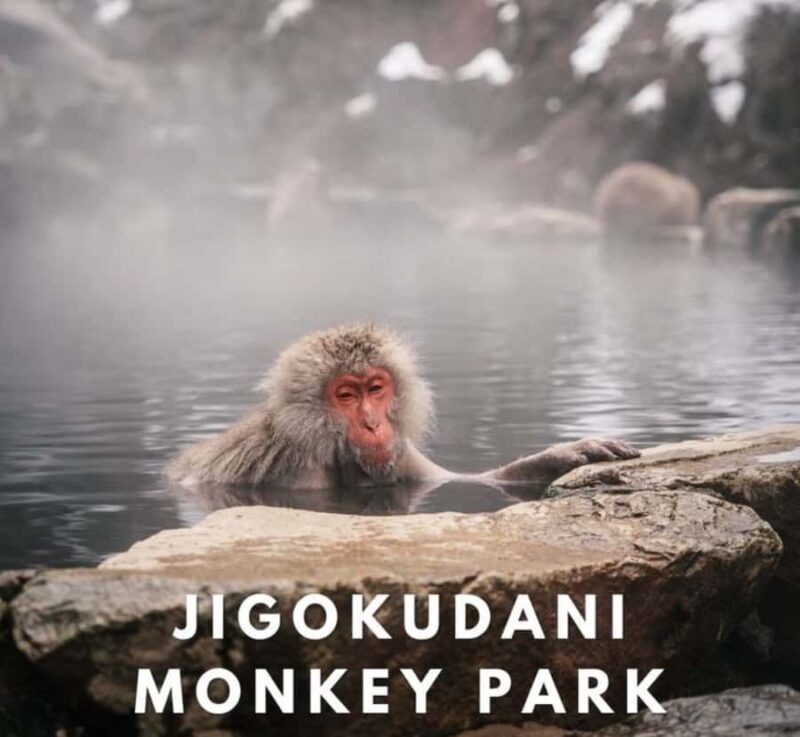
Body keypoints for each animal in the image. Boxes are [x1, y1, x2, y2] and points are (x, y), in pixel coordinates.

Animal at [168, 324, 639, 490]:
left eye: (376, 388)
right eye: (346, 396)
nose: (373, 423)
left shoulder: (399, 452)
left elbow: (455, 480)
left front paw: (562, 455)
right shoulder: (299, 470)